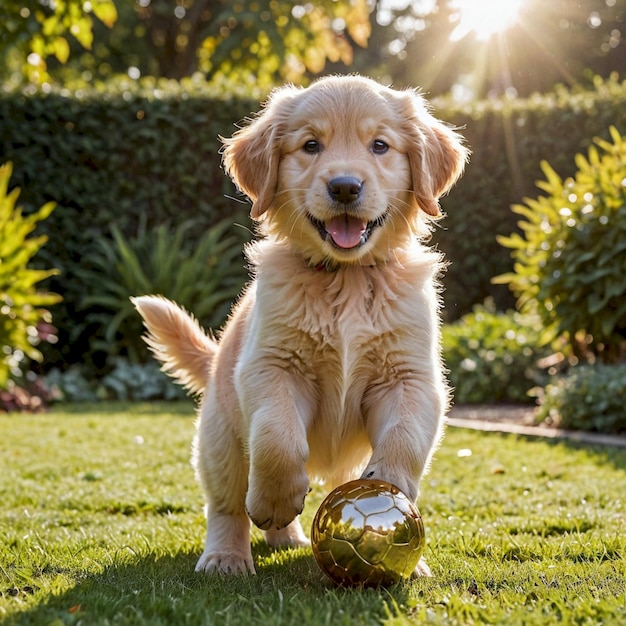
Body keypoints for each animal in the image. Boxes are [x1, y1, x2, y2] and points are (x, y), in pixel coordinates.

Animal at [133, 74, 464, 576]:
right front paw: (273, 501)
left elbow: (404, 438)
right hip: (218, 438)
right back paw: (228, 556)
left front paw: (388, 496)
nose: (345, 187)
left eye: (380, 145)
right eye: (311, 145)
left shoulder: (410, 377)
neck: (346, 277)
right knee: (225, 504)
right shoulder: (270, 367)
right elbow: (277, 439)